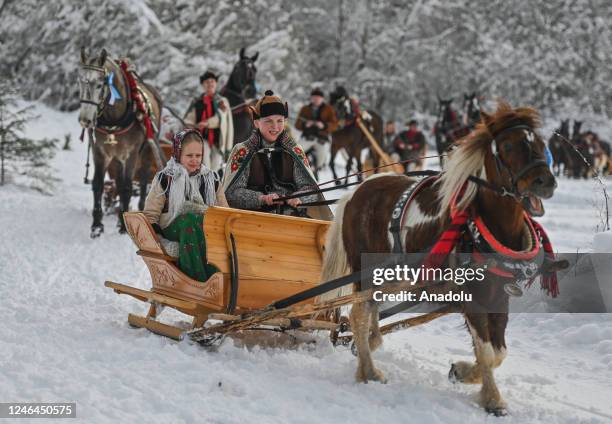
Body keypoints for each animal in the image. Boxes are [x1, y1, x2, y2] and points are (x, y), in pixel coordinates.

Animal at [79, 48, 165, 238]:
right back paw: (120, 216)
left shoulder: (131, 153)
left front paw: (125, 228)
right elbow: (98, 184)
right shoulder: (100, 152)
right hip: (117, 157)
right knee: (118, 181)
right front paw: (97, 225)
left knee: (143, 179)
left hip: (146, 150)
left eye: (100, 84)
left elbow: (127, 186)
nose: (85, 120)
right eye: (80, 81)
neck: (115, 119)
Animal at [320, 102, 560, 414]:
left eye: (542, 144)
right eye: (507, 145)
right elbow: (486, 351)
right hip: (367, 270)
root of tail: (355, 192)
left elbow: (498, 353)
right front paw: (492, 399)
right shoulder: (473, 297)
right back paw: (368, 371)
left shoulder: (499, 296)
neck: (484, 227)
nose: (546, 182)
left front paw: (464, 372)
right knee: (359, 314)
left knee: (368, 311)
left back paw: (369, 346)